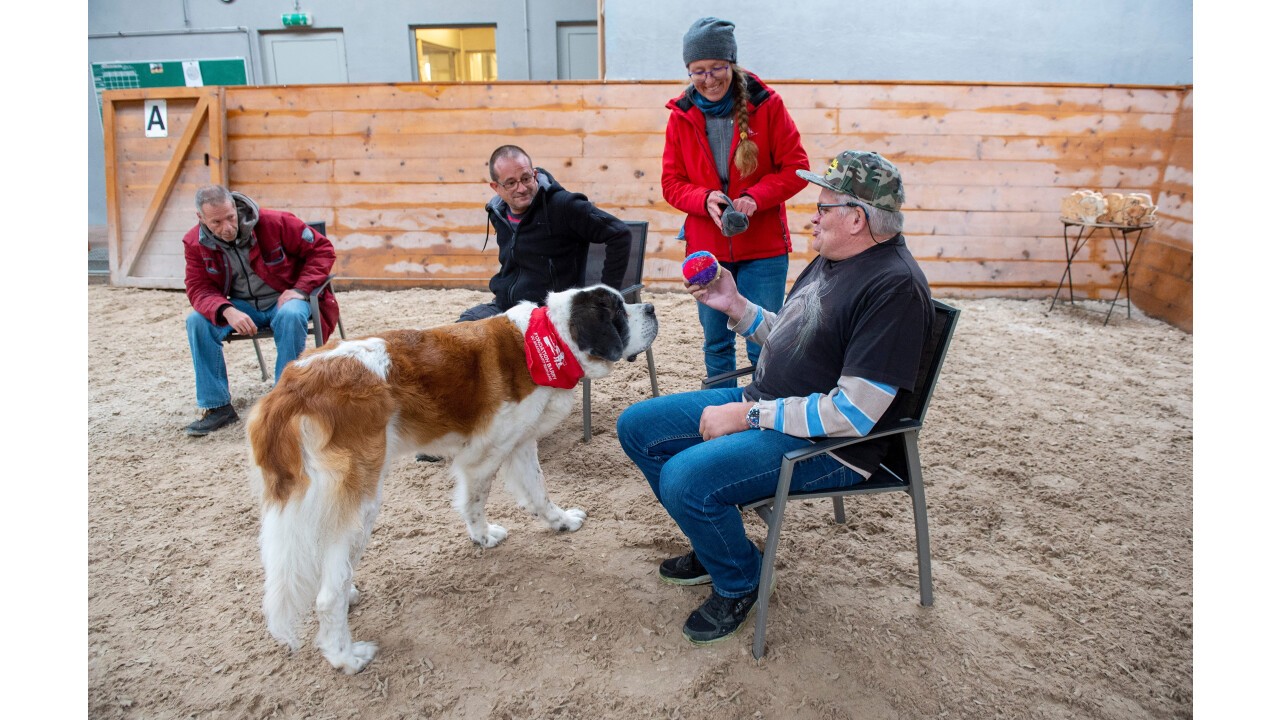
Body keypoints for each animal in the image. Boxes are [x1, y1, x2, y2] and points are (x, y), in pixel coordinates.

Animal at [245, 283, 660, 671]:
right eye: (618, 313)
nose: (652, 307)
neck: (550, 342)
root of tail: (290, 389)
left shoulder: (521, 442)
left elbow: (539, 492)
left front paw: (561, 522)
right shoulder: (485, 453)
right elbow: (476, 499)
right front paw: (483, 537)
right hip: (360, 501)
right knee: (328, 592)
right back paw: (346, 656)